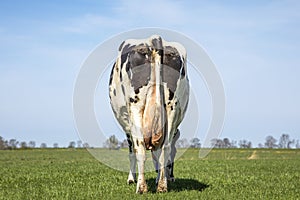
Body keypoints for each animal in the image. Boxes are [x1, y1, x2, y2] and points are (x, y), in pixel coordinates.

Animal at [108, 35, 190, 193]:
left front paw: (131, 179)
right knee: (166, 148)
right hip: (171, 107)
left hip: (135, 105)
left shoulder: (128, 127)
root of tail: (155, 38)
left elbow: (132, 151)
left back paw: (141, 187)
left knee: (139, 148)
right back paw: (162, 185)